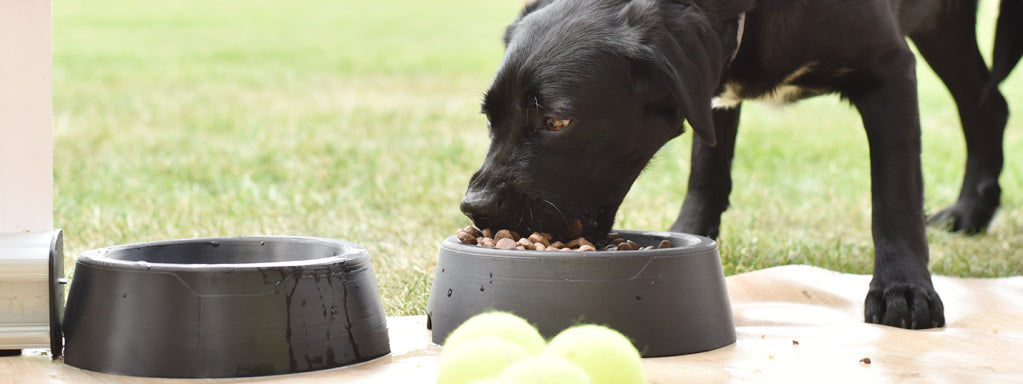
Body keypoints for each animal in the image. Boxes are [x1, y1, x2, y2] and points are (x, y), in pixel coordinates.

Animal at [462, 0, 1014, 331]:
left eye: (557, 121)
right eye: (489, 116)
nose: (475, 207)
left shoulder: (888, 67)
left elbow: (896, 194)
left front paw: (904, 289)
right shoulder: (710, 87)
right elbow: (707, 166)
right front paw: (689, 231)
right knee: (989, 105)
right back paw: (972, 210)